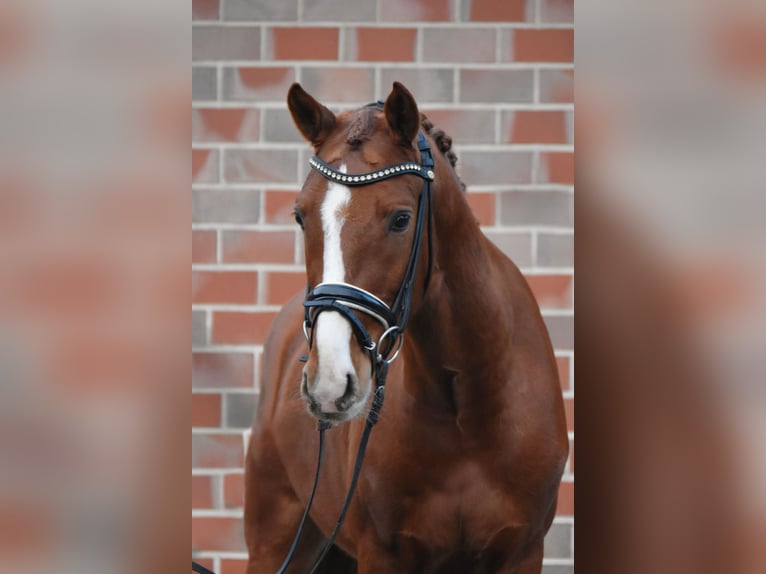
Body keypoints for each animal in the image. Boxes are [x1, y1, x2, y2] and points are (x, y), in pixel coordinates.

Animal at [246, 82, 568, 574]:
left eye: (401, 219)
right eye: (301, 216)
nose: (328, 383)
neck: (467, 407)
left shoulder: (523, 552)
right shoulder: (384, 554)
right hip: (276, 542)